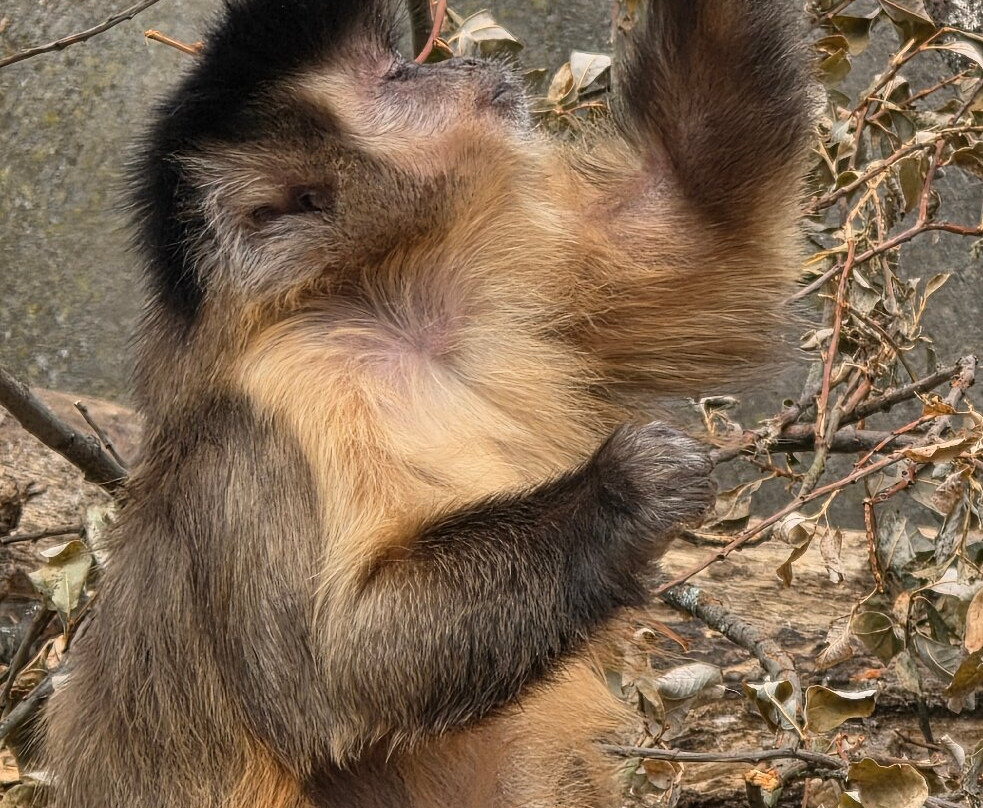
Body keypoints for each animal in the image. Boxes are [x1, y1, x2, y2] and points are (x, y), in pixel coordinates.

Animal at [42, 0, 812, 806]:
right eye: (396, 77)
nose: (456, 64)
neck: (385, 310)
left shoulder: (498, 279)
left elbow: (708, 235)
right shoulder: (270, 409)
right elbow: (340, 677)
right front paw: (630, 485)